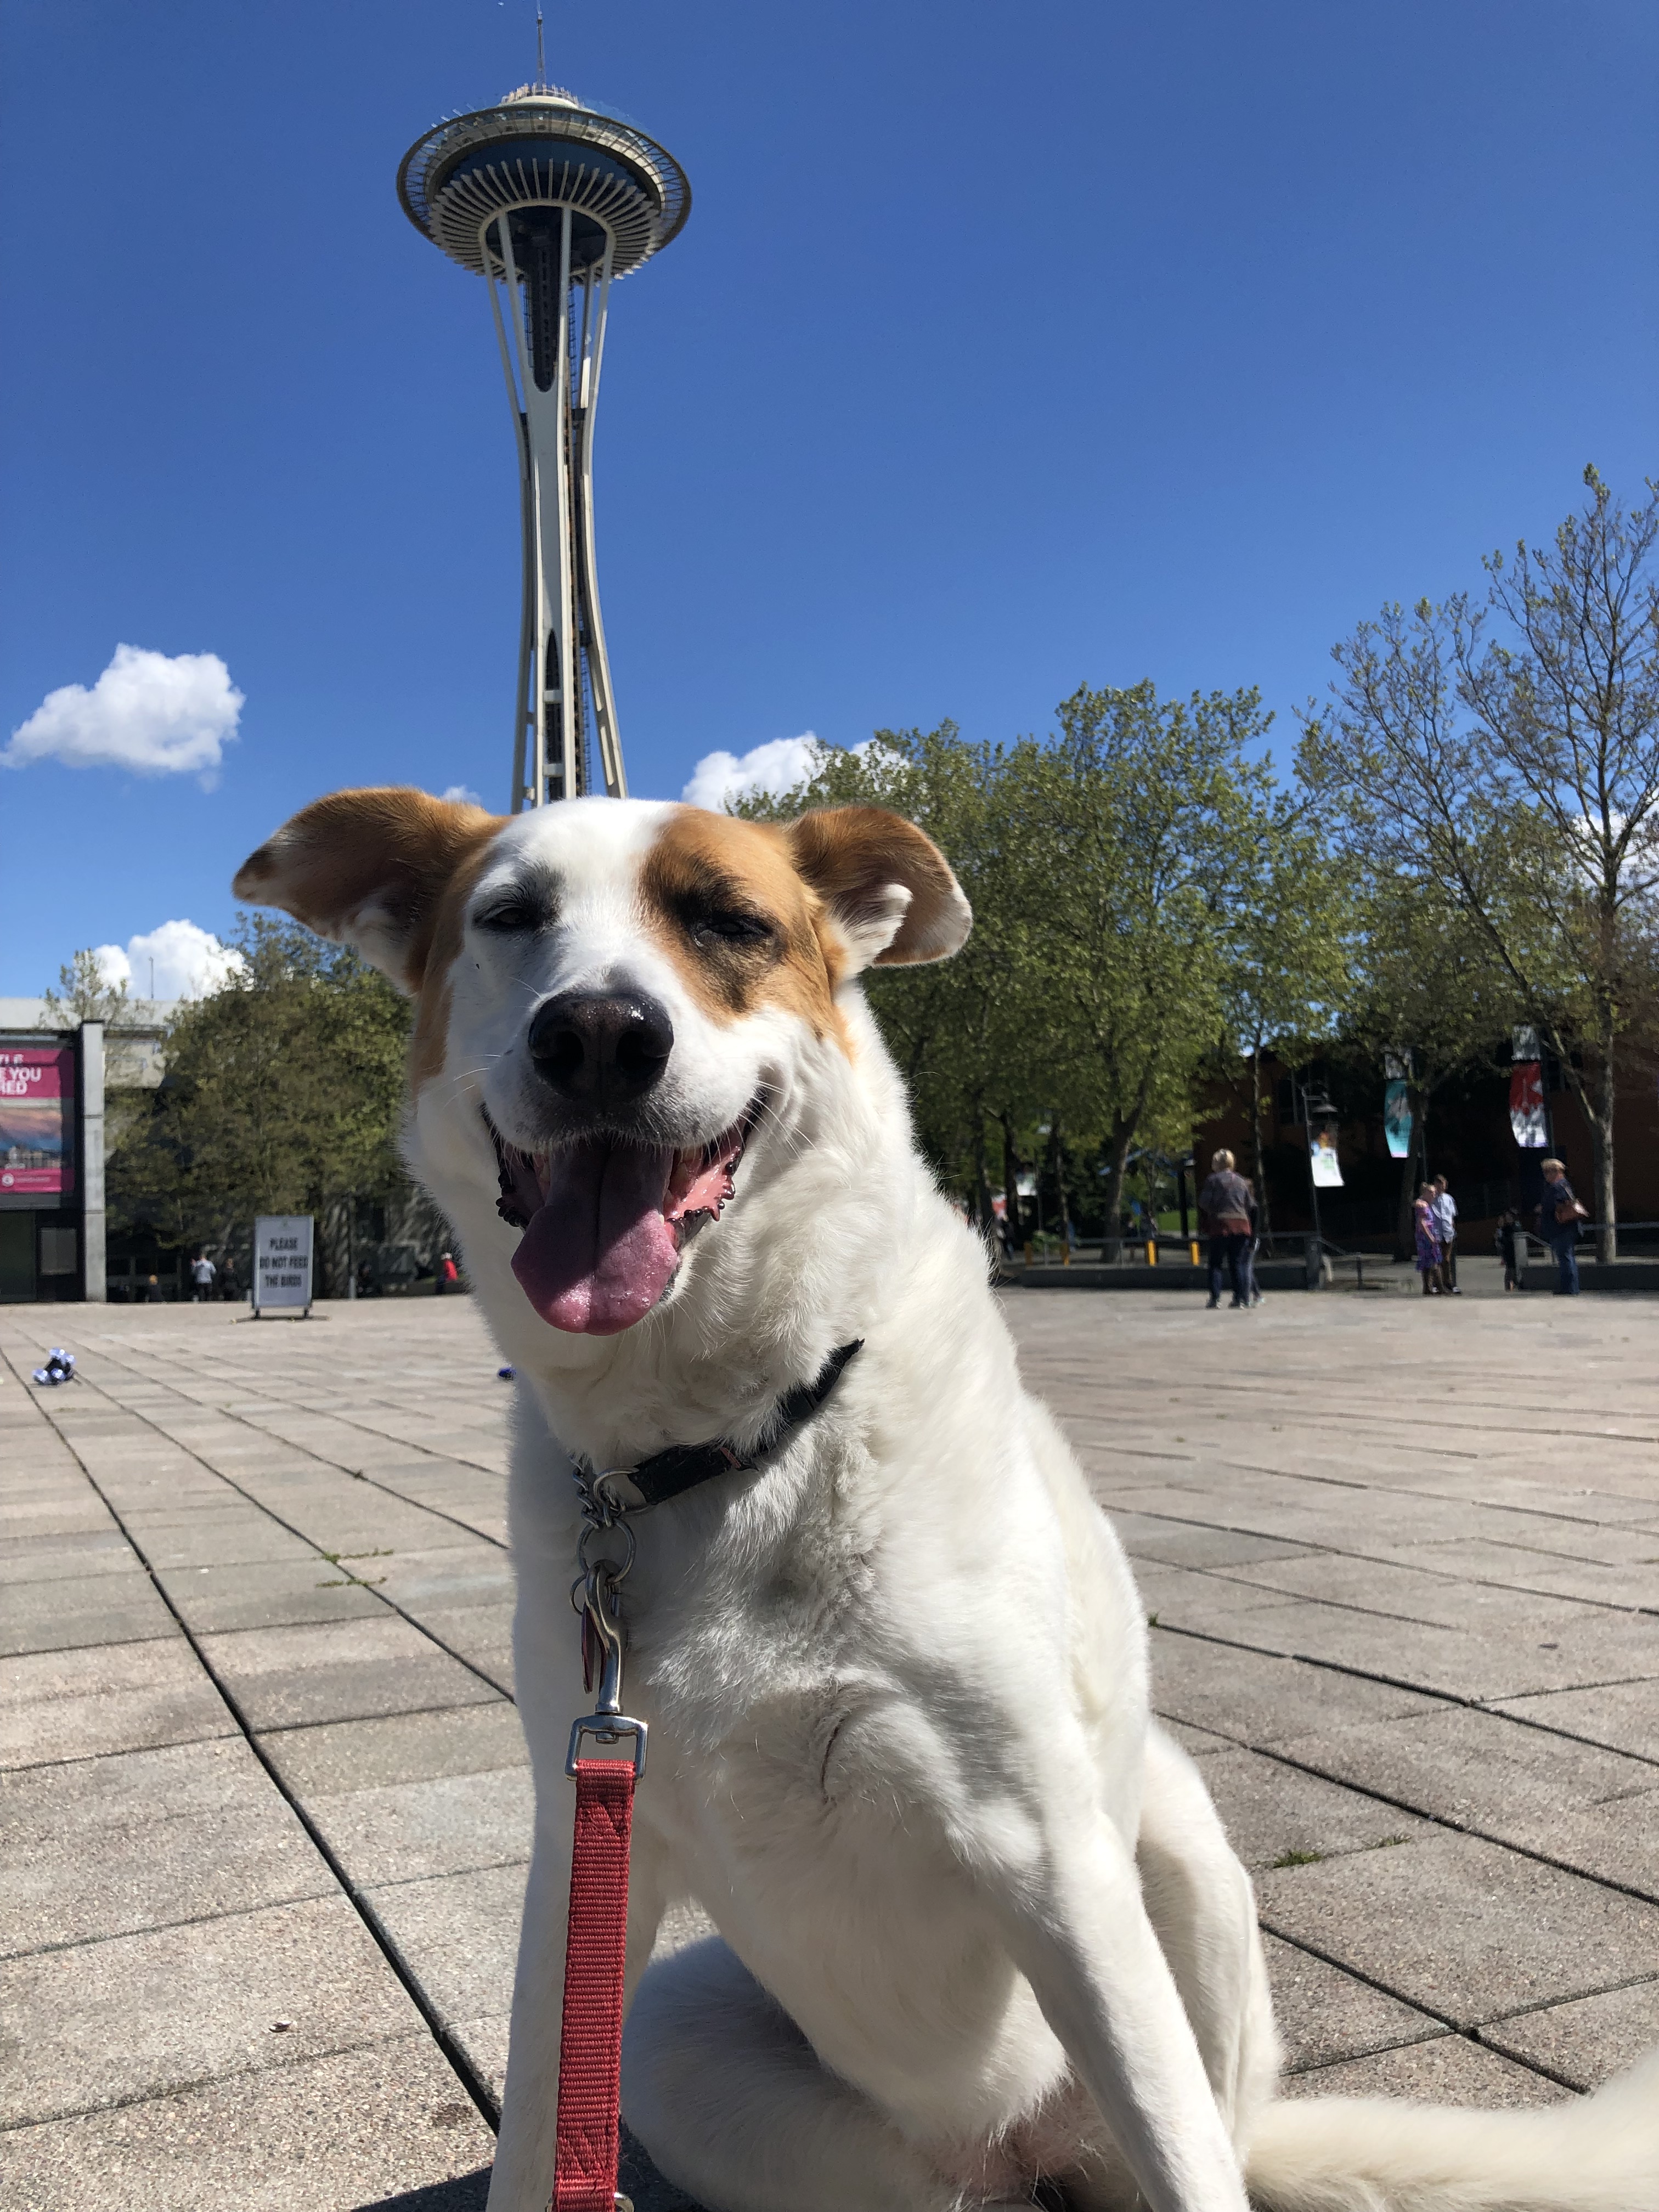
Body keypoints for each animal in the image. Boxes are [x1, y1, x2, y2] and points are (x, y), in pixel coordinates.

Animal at [235, 788, 1658, 2212]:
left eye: (730, 921)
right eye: (513, 916)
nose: (597, 1035)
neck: (732, 1440)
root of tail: (1007, 2146)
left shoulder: (1057, 1863)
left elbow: (1180, 2145)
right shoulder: (584, 1863)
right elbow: (535, 2130)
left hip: (1179, 1859)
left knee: (1194, 2137)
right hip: (686, 2048)